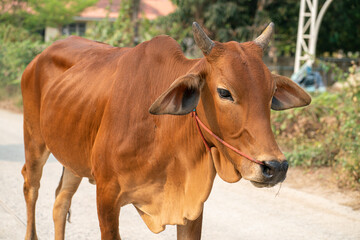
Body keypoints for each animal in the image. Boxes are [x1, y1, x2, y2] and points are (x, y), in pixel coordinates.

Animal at [21, 22, 310, 240]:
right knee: (31, 186)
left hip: (74, 159)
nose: (275, 167)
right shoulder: (106, 196)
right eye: (225, 92)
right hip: (34, 140)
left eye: (272, 92)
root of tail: (38, 58)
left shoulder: (192, 206)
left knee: (61, 201)